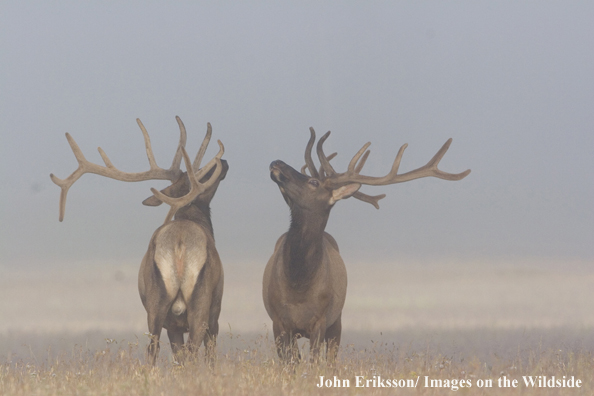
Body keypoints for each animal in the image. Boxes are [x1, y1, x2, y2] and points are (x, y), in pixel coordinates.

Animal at [50, 117, 227, 366]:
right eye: (202, 175)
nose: (225, 163)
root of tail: (179, 245)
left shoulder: (173, 325)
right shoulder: (216, 311)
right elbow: (209, 356)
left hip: (155, 305)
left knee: (153, 348)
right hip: (201, 302)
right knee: (192, 349)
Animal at [262, 127, 470, 362]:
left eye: (313, 182)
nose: (277, 162)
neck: (298, 284)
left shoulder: (321, 320)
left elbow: (315, 362)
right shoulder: (278, 321)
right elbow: (289, 363)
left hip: (337, 320)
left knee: (331, 359)